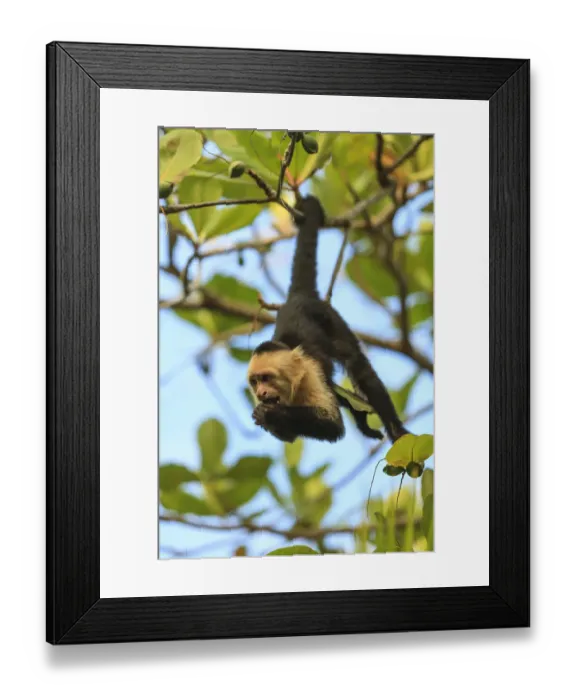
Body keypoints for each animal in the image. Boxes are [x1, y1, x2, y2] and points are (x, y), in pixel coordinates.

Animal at [247, 194, 409, 445]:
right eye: (255, 382)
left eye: (267, 378)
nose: (261, 393)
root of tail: (298, 296)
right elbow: (290, 436)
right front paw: (266, 415)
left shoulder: (311, 374)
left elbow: (333, 425)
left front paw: (270, 413)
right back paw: (362, 422)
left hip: (330, 318)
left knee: (359, 367)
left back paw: (396, 430)